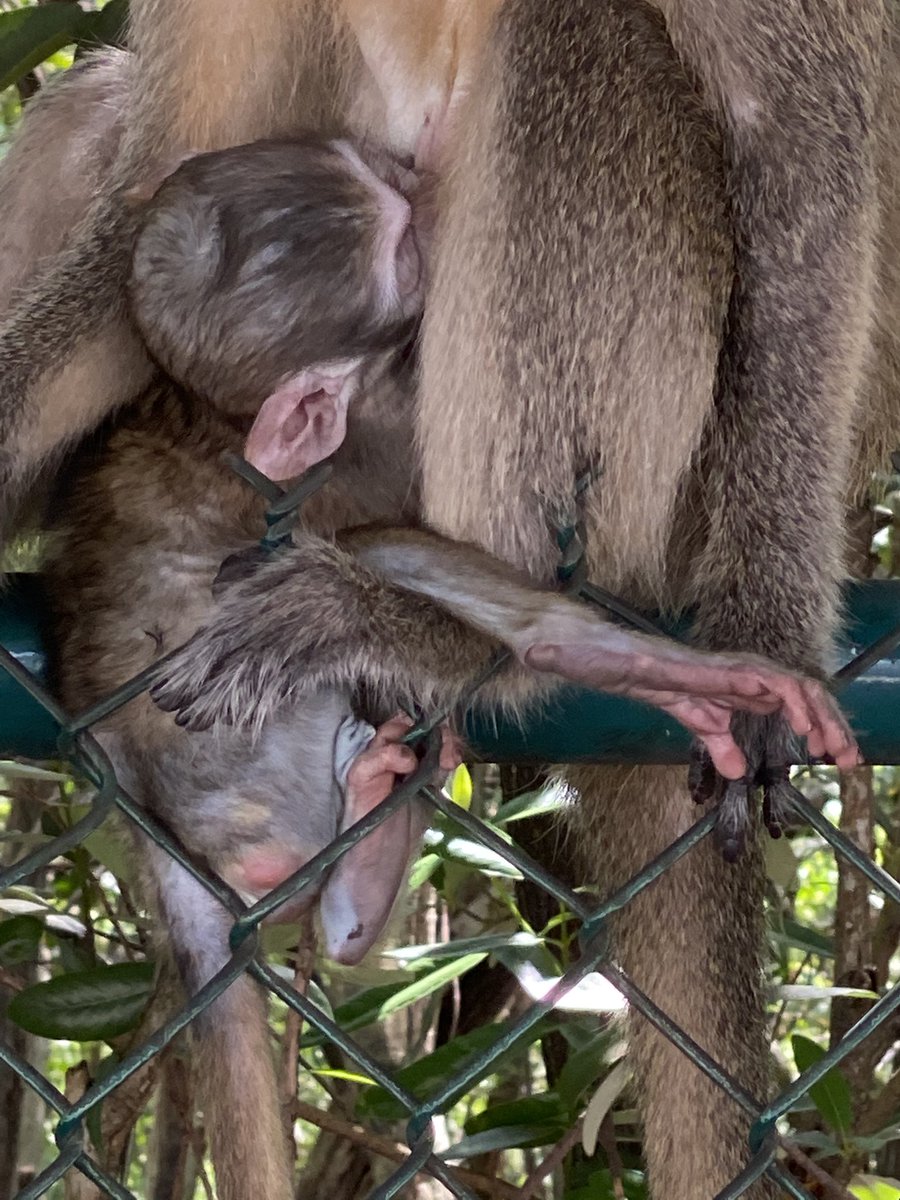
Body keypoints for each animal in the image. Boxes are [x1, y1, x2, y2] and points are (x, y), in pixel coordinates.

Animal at [0, 0, 894, 1196]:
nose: (407, 191)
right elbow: (160, 168)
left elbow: (795, 139)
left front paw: (768, 627)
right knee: (102, 114)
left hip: (657, 487)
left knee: (570, 39)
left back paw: (466, 640)